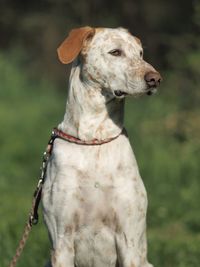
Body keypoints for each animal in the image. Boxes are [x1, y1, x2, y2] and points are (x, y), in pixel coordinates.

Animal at [41, 25, 161, 267]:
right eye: (115, 52)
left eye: (140, 54)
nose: (156, 79)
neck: (94, 139)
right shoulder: (62, 240)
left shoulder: (129, 241)